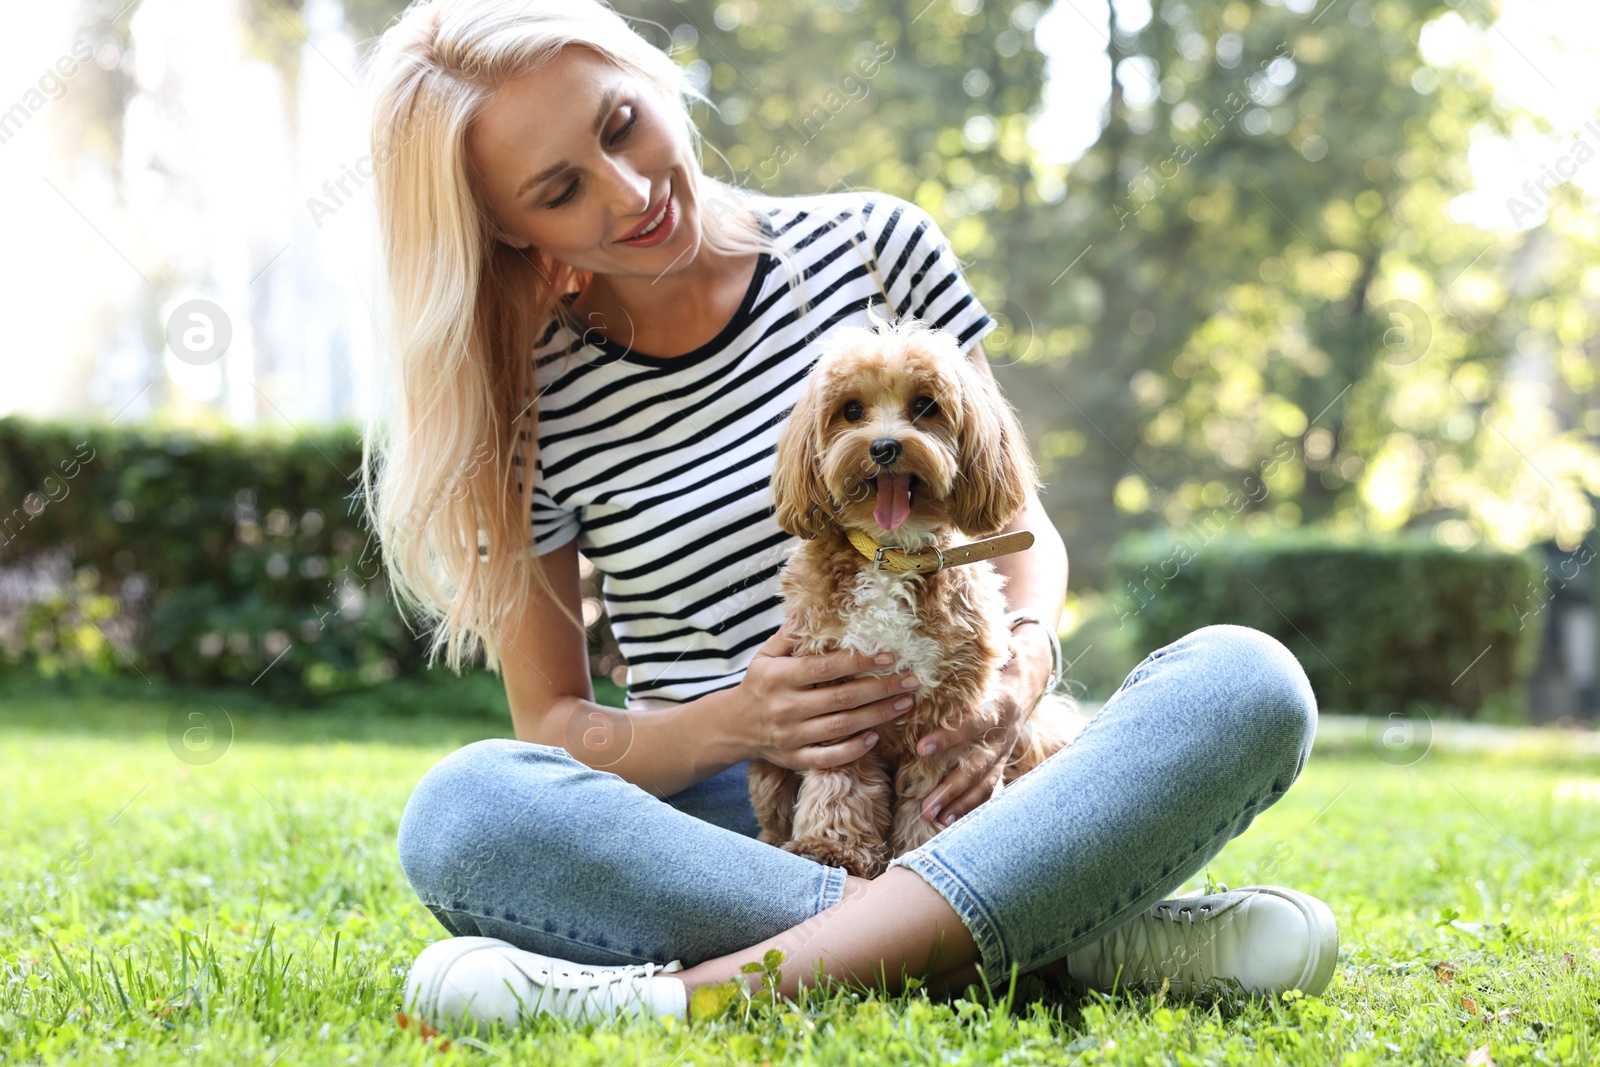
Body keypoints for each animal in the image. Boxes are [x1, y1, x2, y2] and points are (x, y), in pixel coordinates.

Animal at [752, 315, 1088, 876]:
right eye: (852, 410)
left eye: (925, 406)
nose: (884, 447)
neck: (893, 555)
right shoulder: (835, 701)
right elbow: (841, 784)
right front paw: (831, 847)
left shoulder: (948, 715)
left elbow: (930, 797)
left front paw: (923, 851)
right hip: (767, 769)